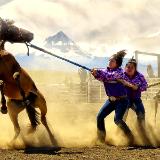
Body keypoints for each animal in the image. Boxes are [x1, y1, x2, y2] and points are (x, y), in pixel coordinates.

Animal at [0, 18, 58, 147]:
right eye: (13, 27)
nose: (31, 34)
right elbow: (1, 83)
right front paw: (2, 107)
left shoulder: (16, 70)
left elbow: (15, 77)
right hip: (13, 110)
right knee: (18, 129)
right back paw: (10, 143)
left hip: (42, 104)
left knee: (43, 120)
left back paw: (53, 140)